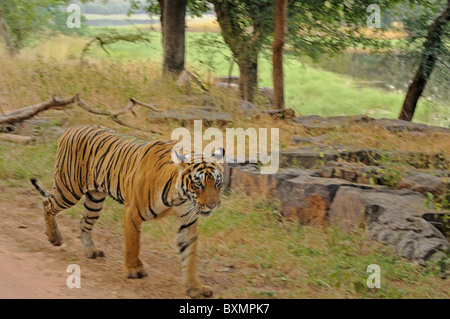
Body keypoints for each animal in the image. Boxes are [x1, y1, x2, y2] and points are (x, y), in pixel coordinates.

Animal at [29, 124, 223, 298]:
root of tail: (71, 128)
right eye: (198, 184)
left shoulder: (187, 221)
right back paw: (54, 238)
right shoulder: (133, 212)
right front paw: (133, 270)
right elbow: (133, 243)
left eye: (217, 183)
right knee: (47, 204)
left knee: (84, 222)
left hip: (95, 198)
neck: (179, 197)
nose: (214, 205)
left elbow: (189, 256)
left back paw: (91, 251)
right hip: (69, 189)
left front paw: (195, 288)